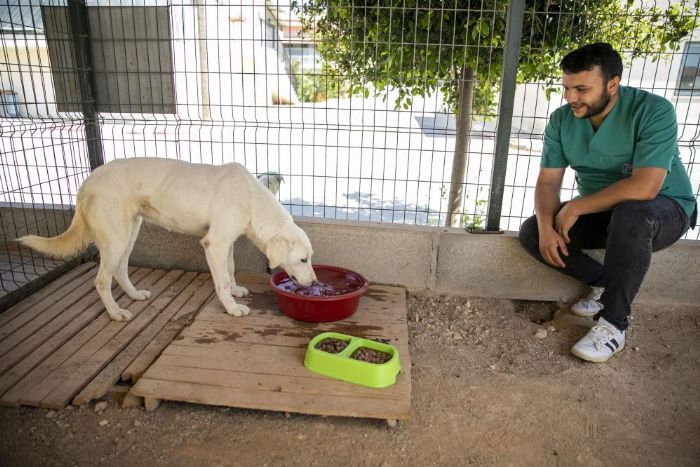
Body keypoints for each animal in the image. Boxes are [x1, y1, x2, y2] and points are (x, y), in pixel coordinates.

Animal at [18, 157, 318, 322]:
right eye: (303, 259)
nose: (316, 284)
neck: (251, 197)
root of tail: (88, 180)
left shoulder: (227, 242)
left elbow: (230, 269)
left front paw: (235, 291)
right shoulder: (214, 244)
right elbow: (220, 280)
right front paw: (232, 307)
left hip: (130, 233)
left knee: (119, 270)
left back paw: (134, 295)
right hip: (116, 238)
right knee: (101, 280)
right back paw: (116, 313)